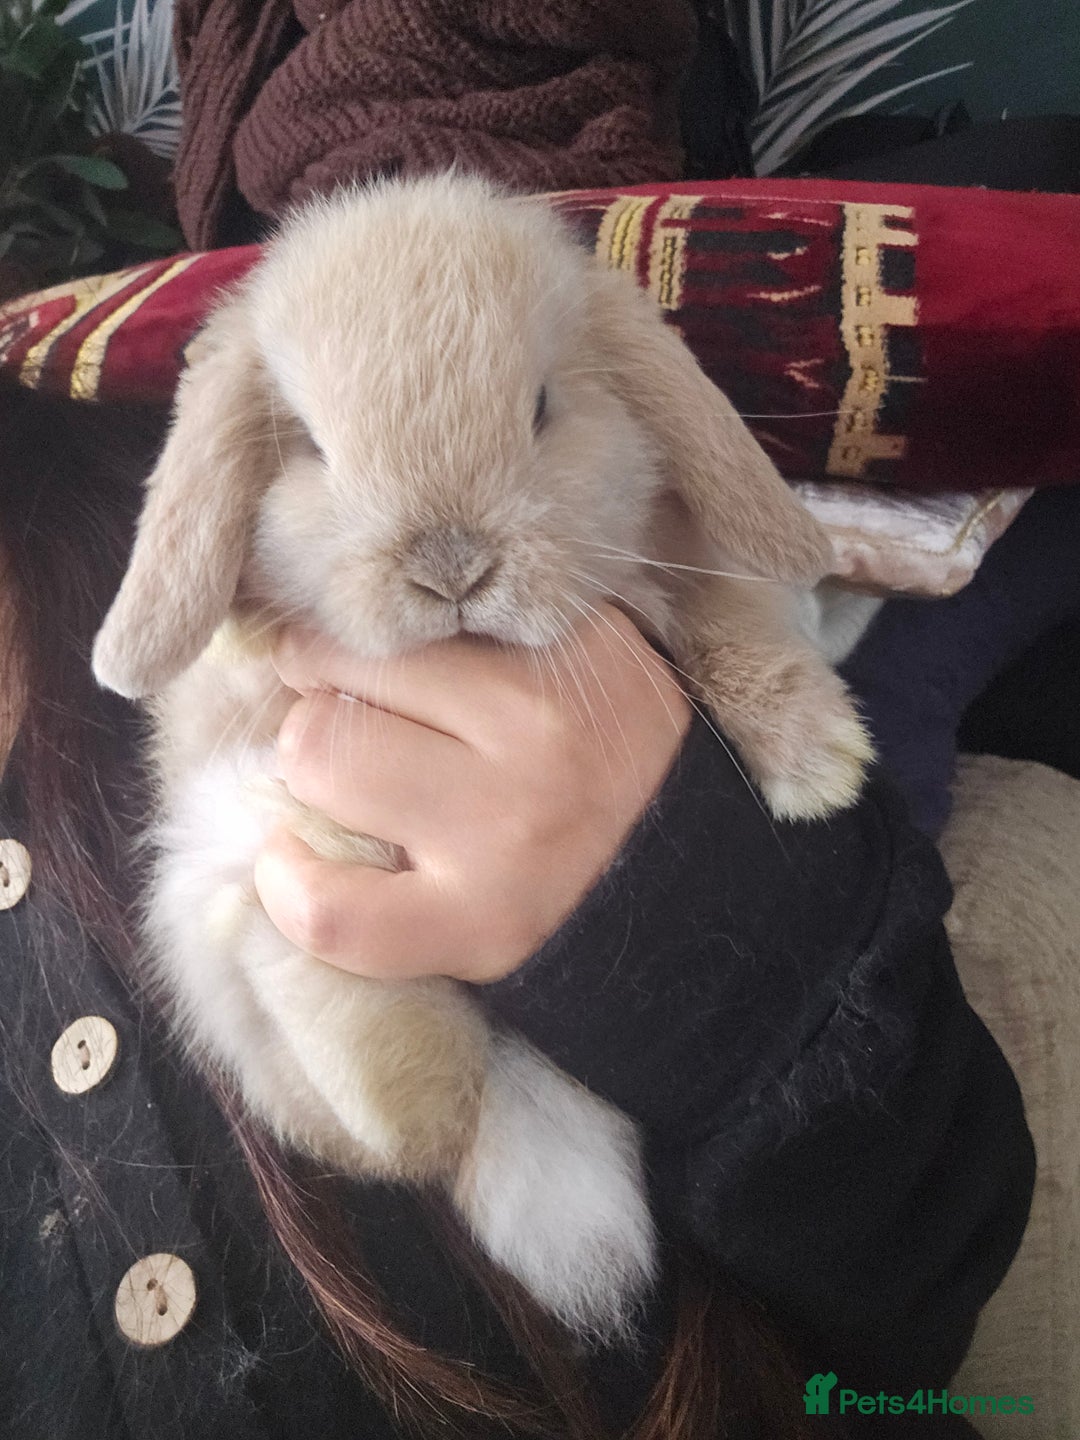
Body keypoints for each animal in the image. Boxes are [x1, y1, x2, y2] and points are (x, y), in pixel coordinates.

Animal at [92, 172, 872, 1344]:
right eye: (311, 446)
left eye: (543, 408)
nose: (451, 567)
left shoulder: (693, 567)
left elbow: (731, 623)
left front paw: (821, 765)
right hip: (206, 933)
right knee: (399, 1125)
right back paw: (293, 947)